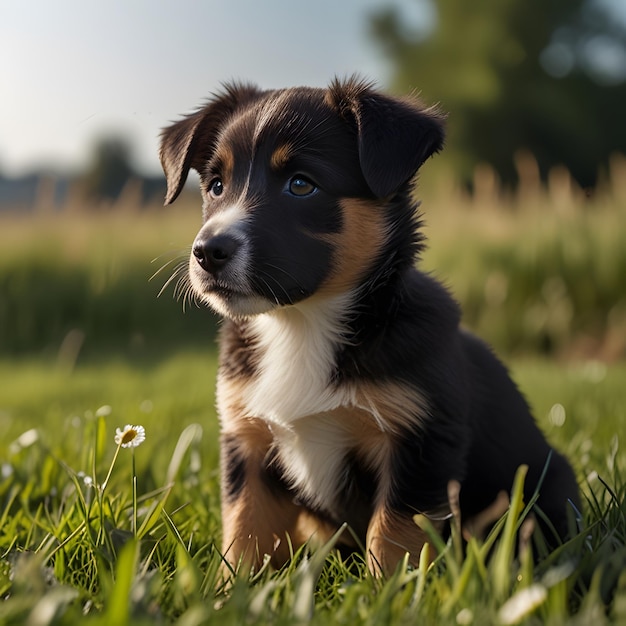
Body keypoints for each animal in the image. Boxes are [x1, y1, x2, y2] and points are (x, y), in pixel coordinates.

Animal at [158, 75, 576, 572]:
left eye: (301, 185)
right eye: (217, 185)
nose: (208, 252)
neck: (300, 325)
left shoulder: (419, 442)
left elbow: (393, 537)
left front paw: (391, 588)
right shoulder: (248, 441)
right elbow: (245, 531)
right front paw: (231, 587)